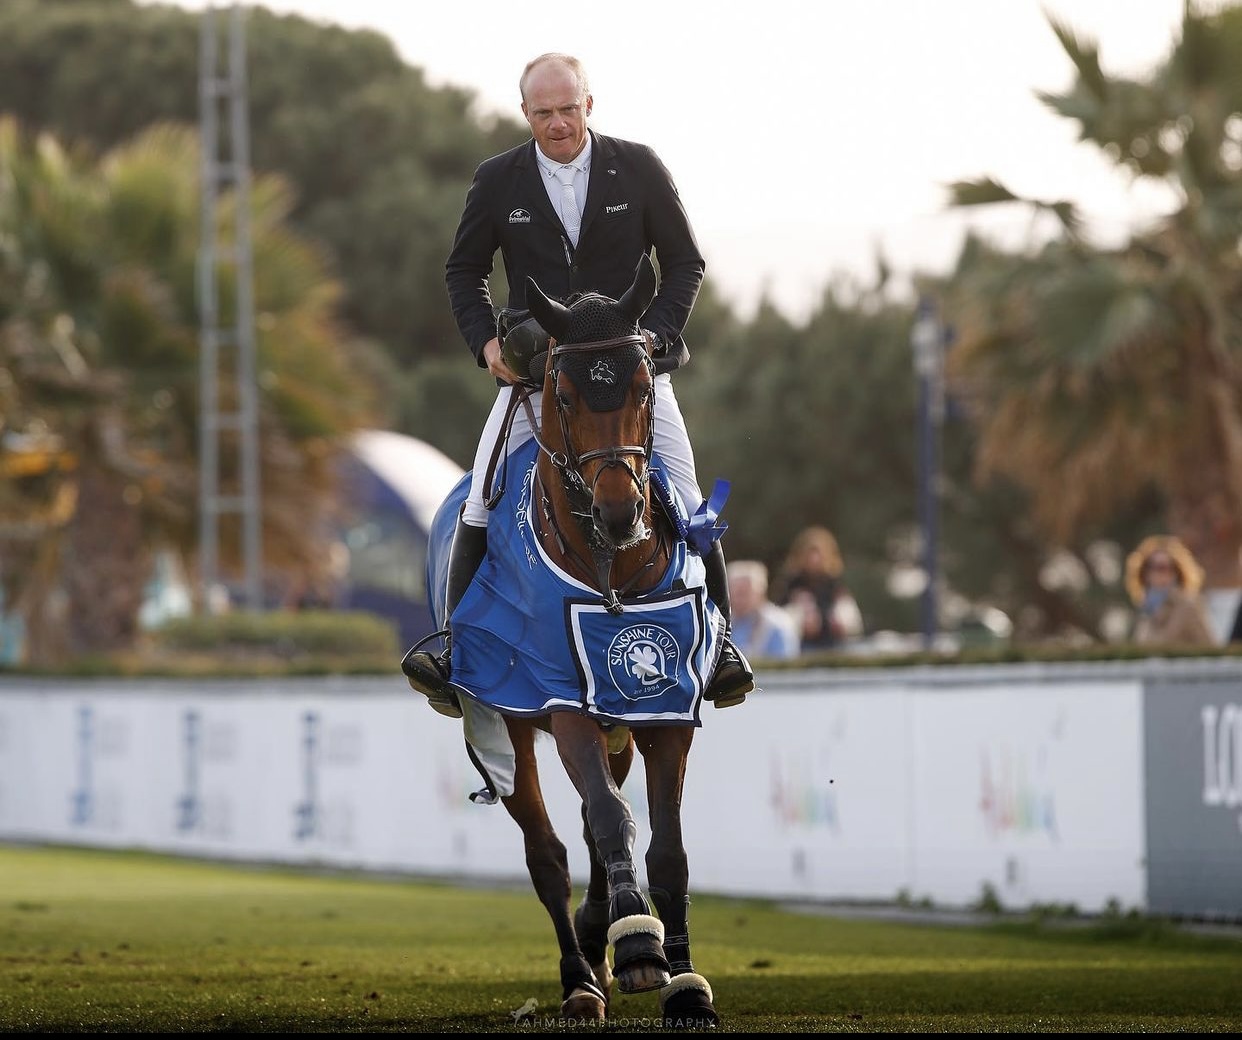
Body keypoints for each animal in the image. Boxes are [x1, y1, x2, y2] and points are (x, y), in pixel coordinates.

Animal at [424, 255, 725, 1028]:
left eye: (645, 386)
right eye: (563, 392)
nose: (621, 512)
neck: (608, 569)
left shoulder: (665, 711)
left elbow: (666, 846)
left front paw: (682, 978)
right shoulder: (562, 702)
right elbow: (611, 820)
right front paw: (641, 948)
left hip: (616, 723)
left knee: (589, 828)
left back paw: (600, 935)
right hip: (507, 725)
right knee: (550, 854)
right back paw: (581, 977)